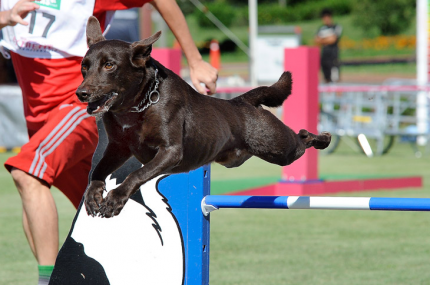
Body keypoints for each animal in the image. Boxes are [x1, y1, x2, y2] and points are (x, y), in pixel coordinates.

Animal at [77, 16, 330, 216]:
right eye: (84, 67)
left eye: (109, 65)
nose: (81, 93)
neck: (138, 106)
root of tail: (243, 100)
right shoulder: (117, 148)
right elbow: (97, 170)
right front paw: (92, 195)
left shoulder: (170, 151)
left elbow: (137, 173)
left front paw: (115, 199)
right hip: (240, 157)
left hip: (278, 147)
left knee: (301, 139)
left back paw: (323, 138)